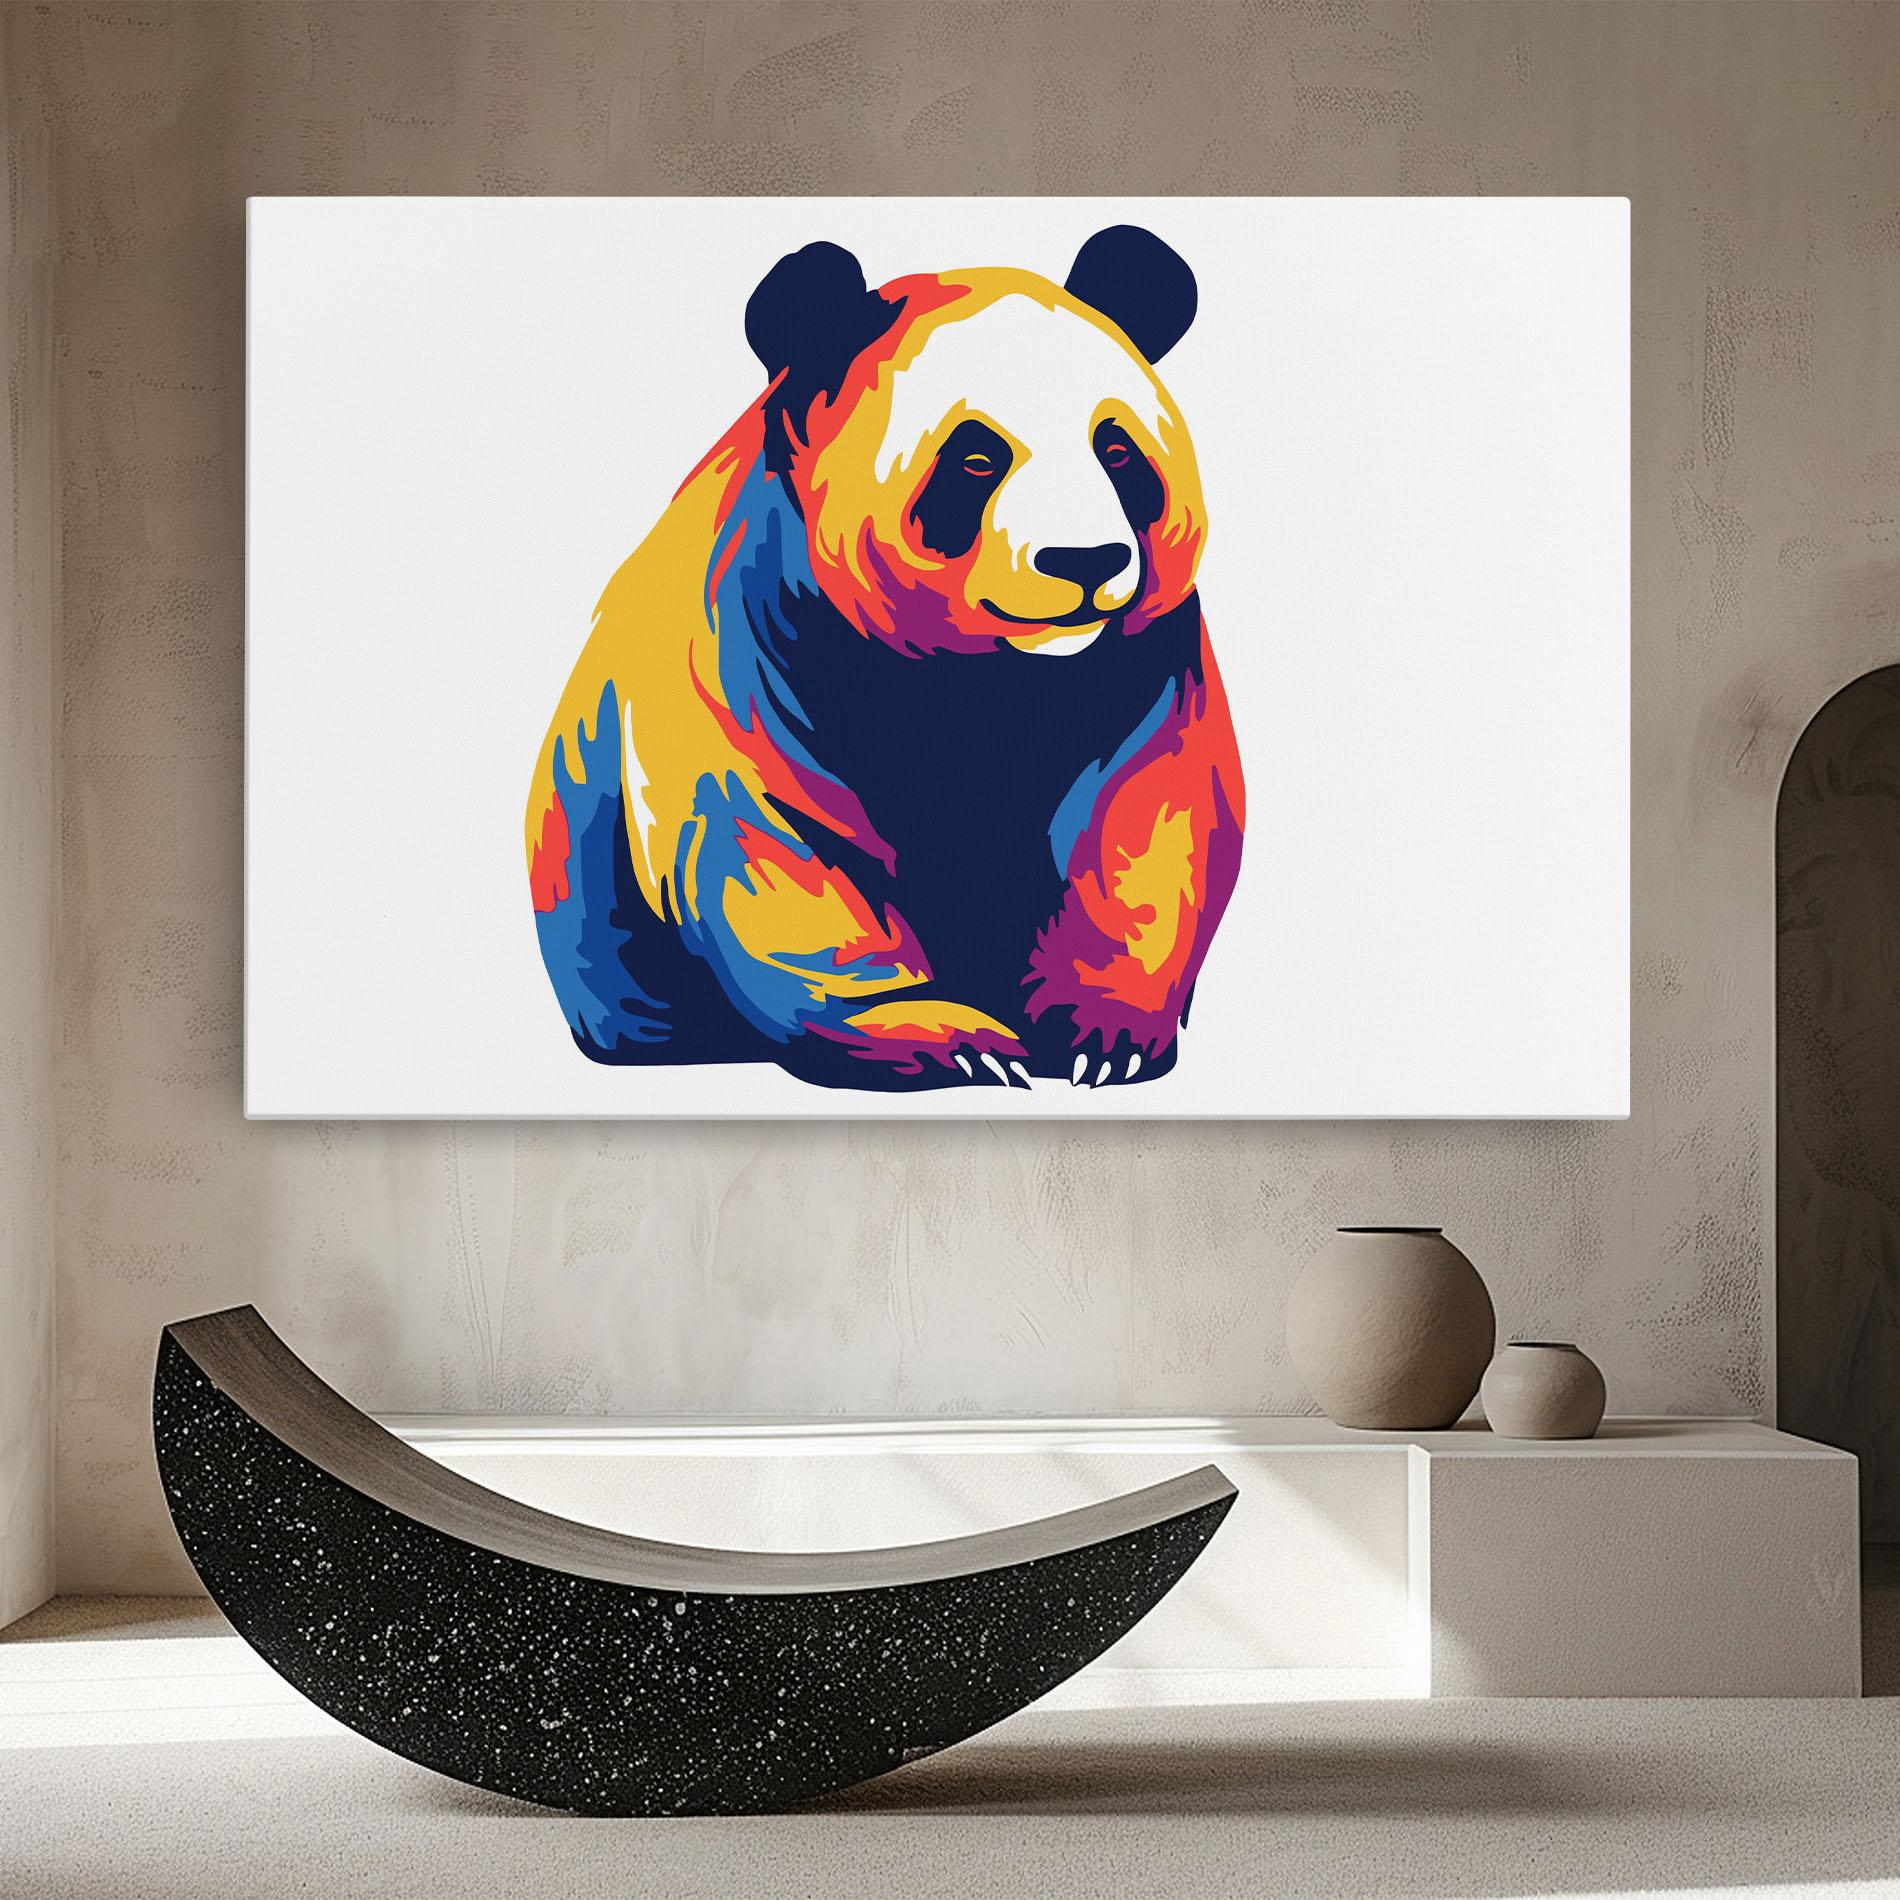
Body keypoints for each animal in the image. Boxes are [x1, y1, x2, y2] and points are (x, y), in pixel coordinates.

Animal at [525, 225, 1245, 1093]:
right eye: (976, 460)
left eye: (1117, 451)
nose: (1085, 561)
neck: (991, 670)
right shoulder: (750, 644)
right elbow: (767, 845)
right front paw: (949, 1037)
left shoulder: (1145, 660)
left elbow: (1149, 813)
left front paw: (1103, 1034)